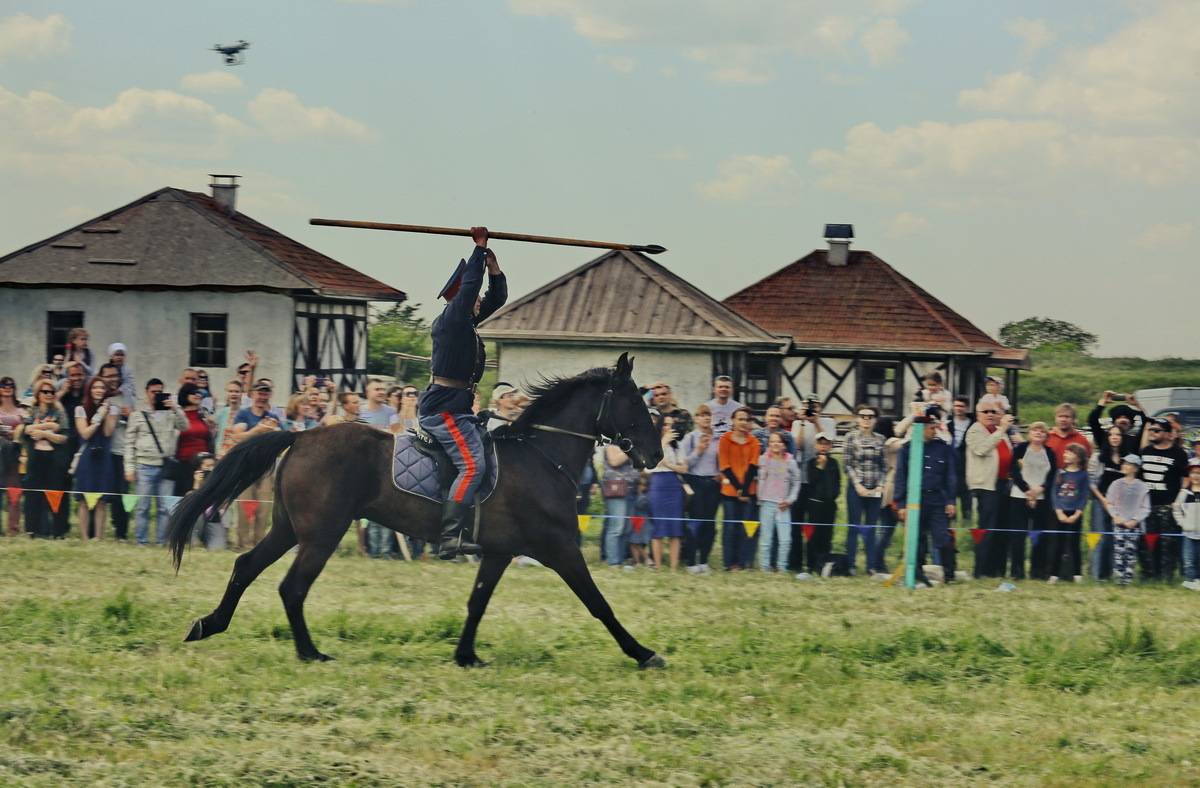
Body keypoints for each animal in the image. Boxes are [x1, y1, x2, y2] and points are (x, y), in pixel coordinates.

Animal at [165, 352, 667, 666]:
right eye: (633, 401)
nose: (657, 454)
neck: (542, 455)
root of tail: (301, 434)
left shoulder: (499, 553)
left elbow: (477, 602)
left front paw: (465, 656)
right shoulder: (560, 548)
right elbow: (599, 603)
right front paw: (643, 653)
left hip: (290, 529)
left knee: (247, 566)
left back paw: (209, 625)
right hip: (322, 534)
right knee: (292, 587)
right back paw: (310, 652)